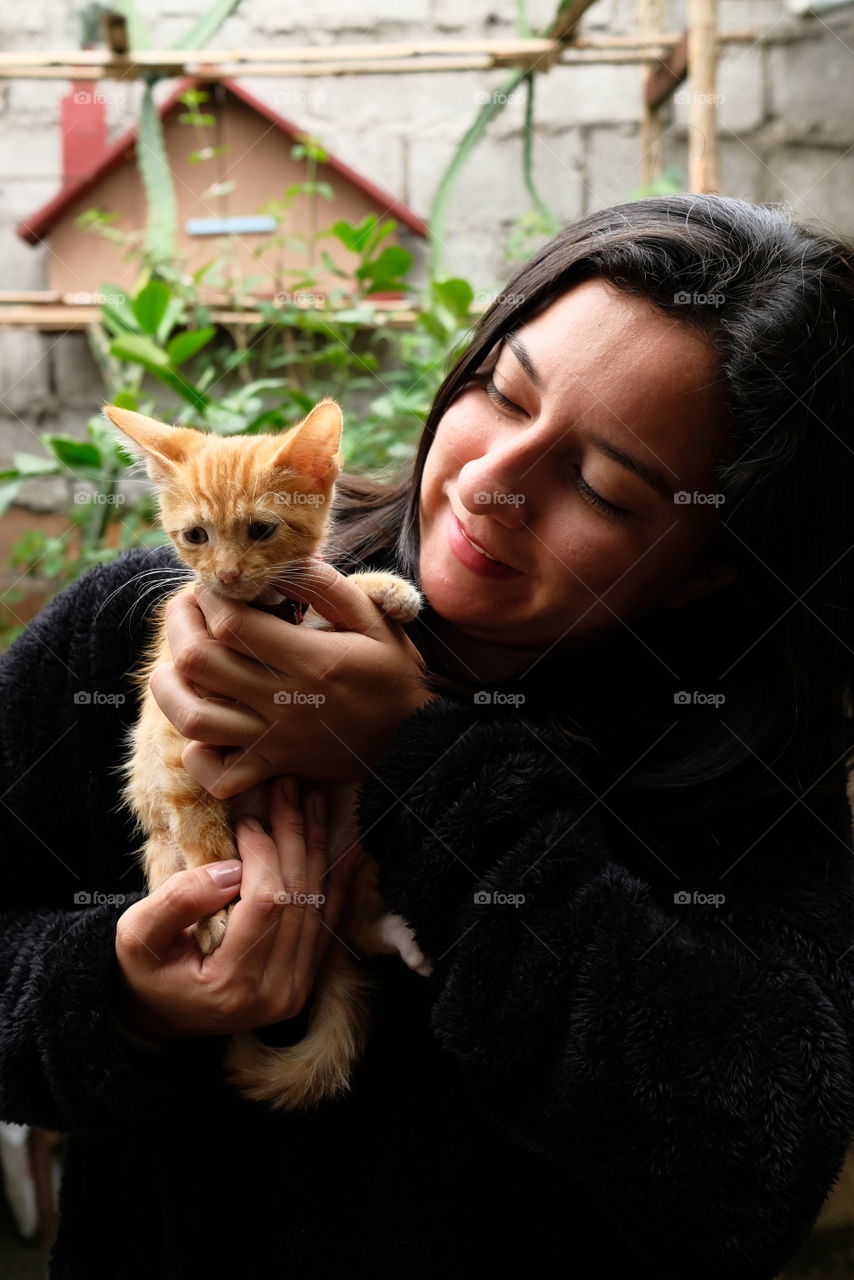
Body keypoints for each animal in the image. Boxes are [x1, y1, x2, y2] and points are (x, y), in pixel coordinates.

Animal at [102, 399, 430, 1111]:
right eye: (195, 536)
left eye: (260, 530)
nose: (224, 575)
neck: (261, 619)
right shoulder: (173, 750)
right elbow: (203, 832)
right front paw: (219, 912)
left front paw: (385, 589)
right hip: (162, 855)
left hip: (350, 841)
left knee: (357, 926)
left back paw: (397, 936)